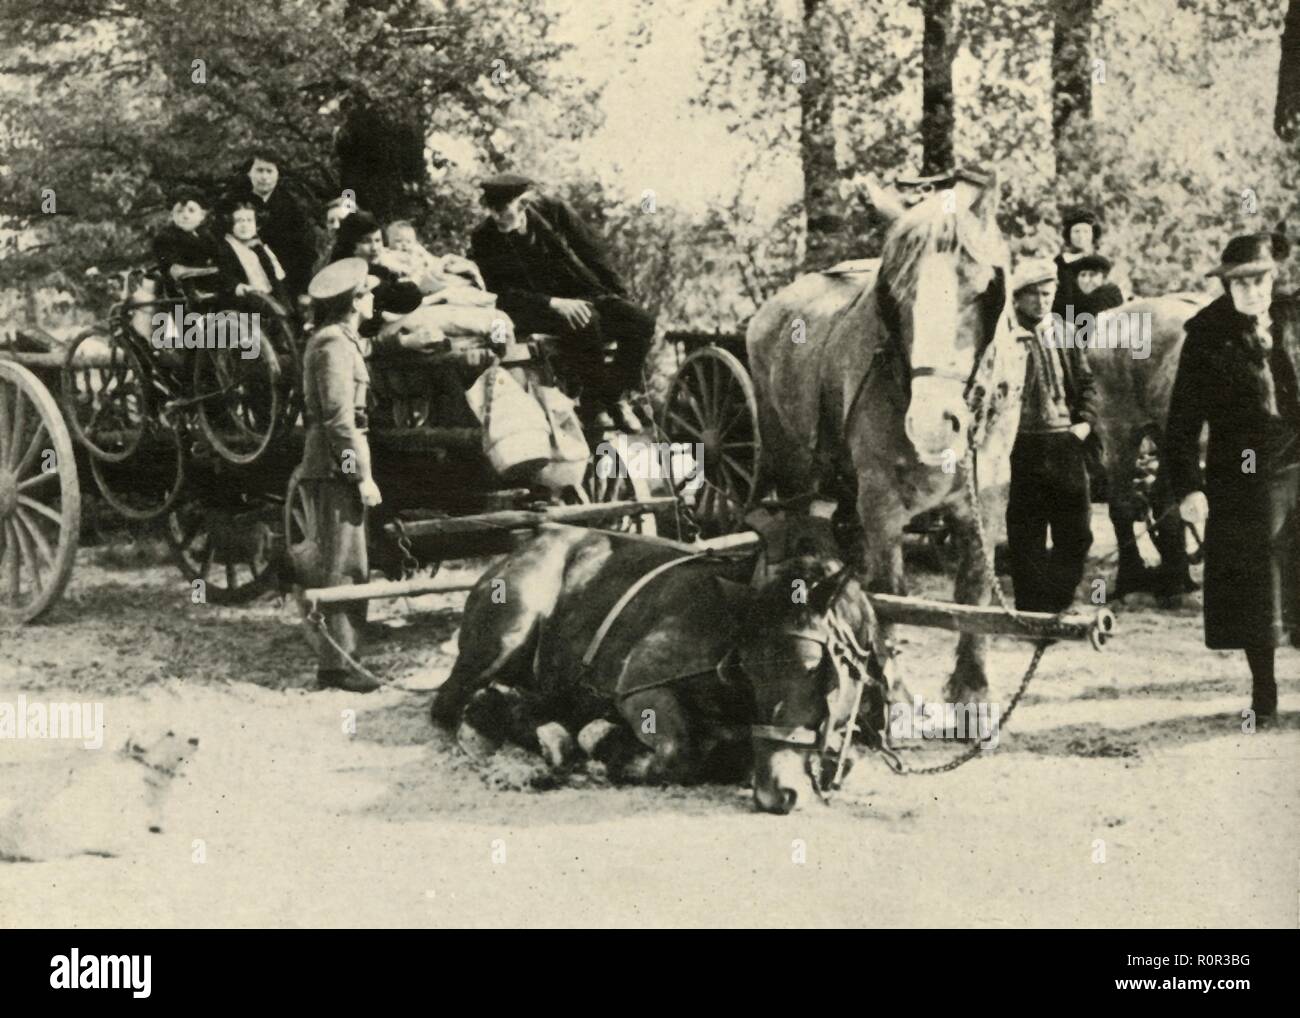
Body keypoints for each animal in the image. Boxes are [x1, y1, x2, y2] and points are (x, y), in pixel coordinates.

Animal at [431, 522, 889, 816]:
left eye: (813, 667)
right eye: (748, 669)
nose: (776, 792)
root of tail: (523, 546)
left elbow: (841, 758)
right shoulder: (641, 684)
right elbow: (677, 752)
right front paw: (609, 748)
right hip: (507, 630)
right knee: (451, 702)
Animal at [748, 175, 1019, 707]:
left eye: (983, 292)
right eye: (895, 294)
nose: (932, 424)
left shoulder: (988, 495)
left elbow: (974, 589)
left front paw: (971, 687)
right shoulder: (881, 500)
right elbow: (892, 594)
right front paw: (892, 688)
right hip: (791, 462)